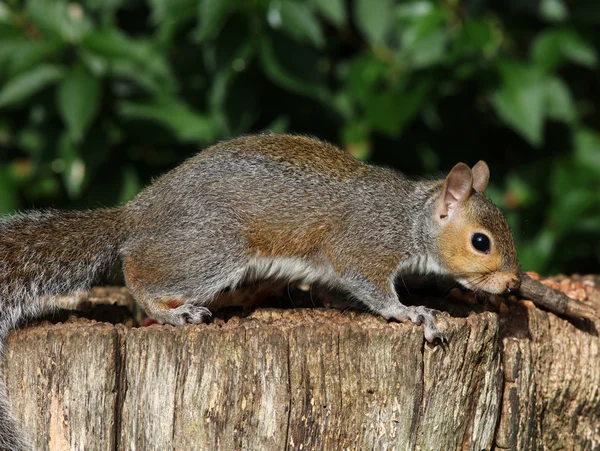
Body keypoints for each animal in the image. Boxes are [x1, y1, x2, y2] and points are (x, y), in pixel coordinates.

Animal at [0, 133, 516, 448]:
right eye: (481, 242)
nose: (512, 282)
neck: (409, 220)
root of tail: (138, 212)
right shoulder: (364, 247)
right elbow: (374, 289)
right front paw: (414, 314)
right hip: (215, 247)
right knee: (137, 270)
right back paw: (169, 312)